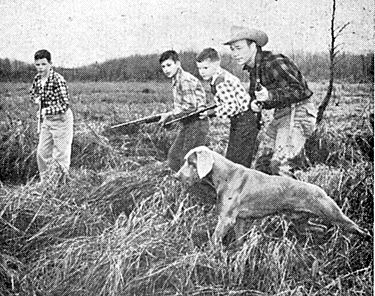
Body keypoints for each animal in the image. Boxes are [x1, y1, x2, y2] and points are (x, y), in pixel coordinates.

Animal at [176, 146, 370, 245]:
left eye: (190, 162)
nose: (176, 176)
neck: (226, 175)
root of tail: (320, 189)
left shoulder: (226, 219)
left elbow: (215, 241)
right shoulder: (239, 220)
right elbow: (239, 240)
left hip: (335, 215)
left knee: (358, 228)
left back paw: (366, 238)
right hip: (299, 221)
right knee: (320, 228)